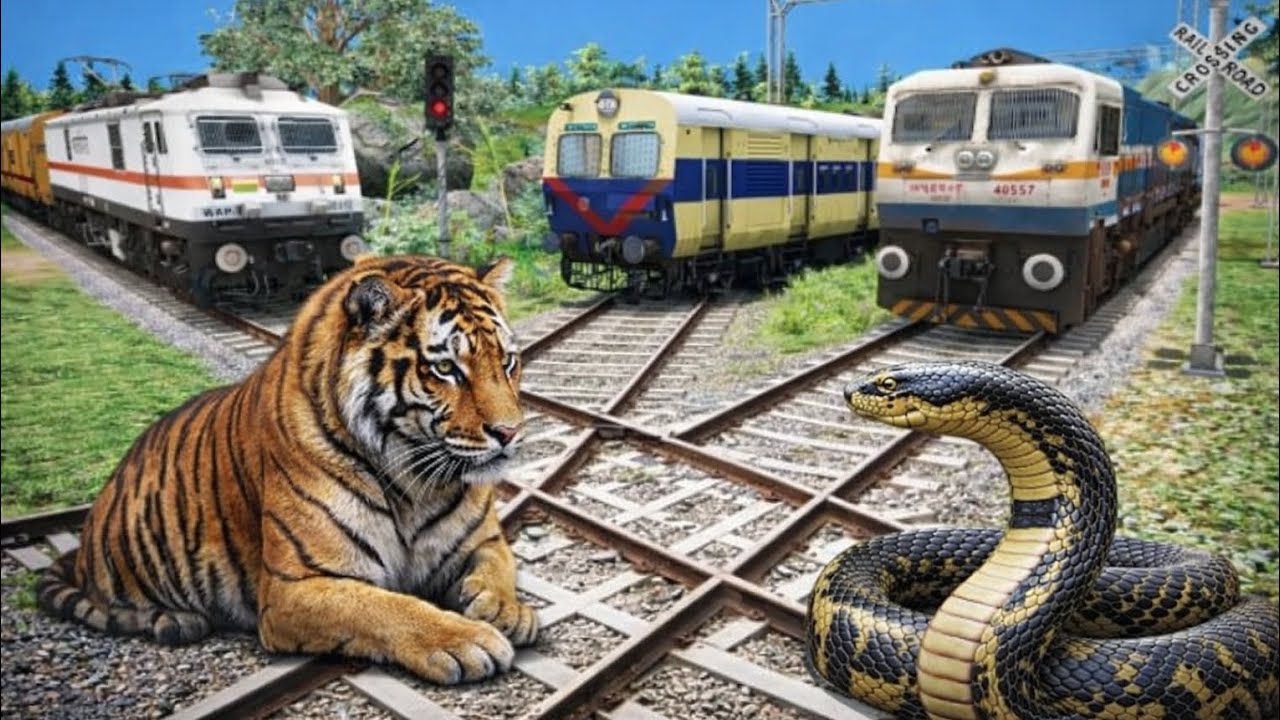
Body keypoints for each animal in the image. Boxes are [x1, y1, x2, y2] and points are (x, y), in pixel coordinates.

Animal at [36, 253, 538, 684]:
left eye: (508, 361)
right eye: (446, 368)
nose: (511, 432)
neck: (414, 484)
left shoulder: (483, 539)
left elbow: (499, 565)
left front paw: (506, 611)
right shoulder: (294, 588)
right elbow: (383, 607)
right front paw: (466, 639)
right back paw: (175, 620)